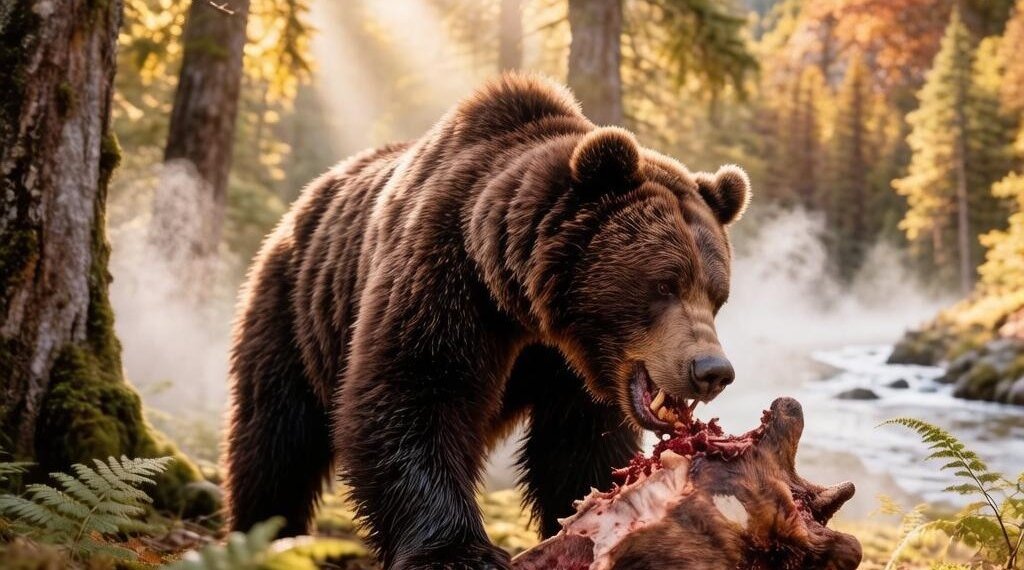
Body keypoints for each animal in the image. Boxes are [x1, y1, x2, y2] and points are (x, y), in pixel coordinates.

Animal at [223, 73, 750, 569]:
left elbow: (575, 444)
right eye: (664, 284)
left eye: (717, 295)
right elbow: (412, 392)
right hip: (294, 307)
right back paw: (265, 535)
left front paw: (601, 513)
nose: (711, 370)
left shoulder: (568, 366)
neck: (525, 303)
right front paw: (457, 551)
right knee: (276, 438)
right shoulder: (444, 277)